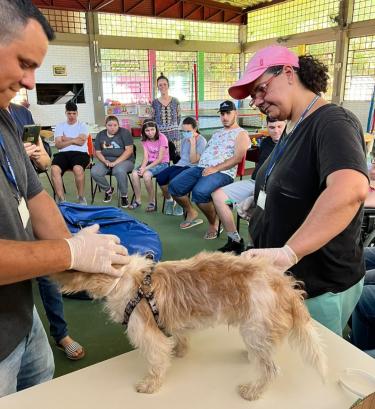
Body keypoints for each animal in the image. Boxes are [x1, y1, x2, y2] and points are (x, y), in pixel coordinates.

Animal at [54, 250, 328, 400]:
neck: (126, 279)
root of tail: (285, 287)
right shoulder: (172, 324)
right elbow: (180, 337)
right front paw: (180, 350)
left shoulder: (149, 337)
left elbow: (156, 363)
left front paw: (150, 385)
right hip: (255, 332)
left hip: (256, 331)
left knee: (270, 370)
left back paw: (252, 392)